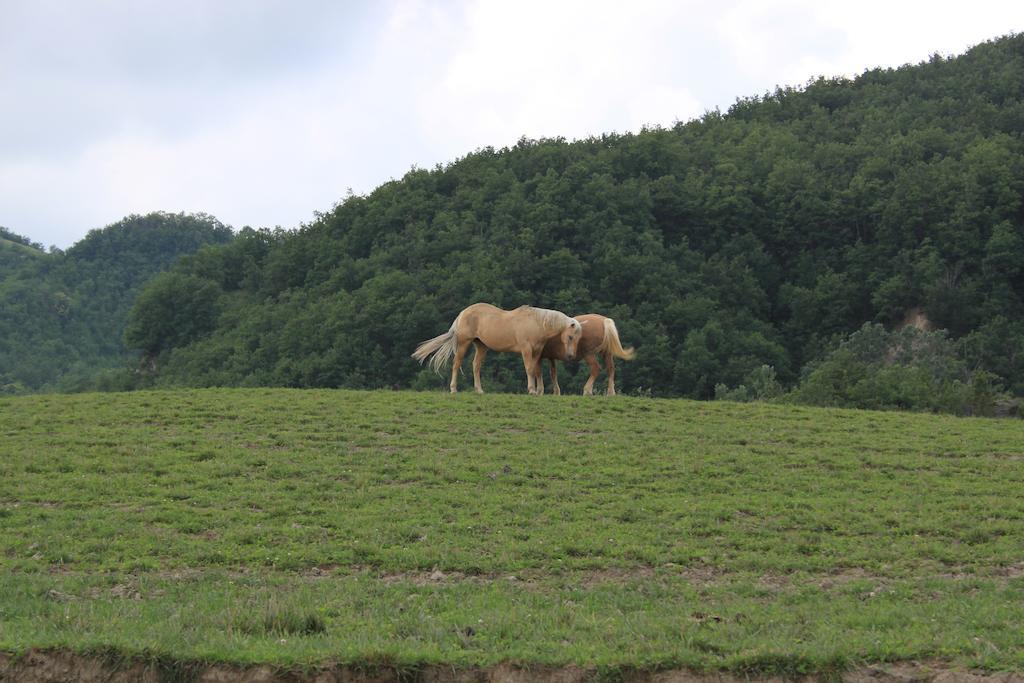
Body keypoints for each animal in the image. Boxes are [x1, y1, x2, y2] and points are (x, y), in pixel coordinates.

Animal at [409, 305, 585, 395]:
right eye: (570, 337)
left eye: (578, 338)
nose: (571, 356)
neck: (536, 322)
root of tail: (462, 313)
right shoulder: (526, 350)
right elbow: (529, 369)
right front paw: (531, 390)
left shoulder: (537, 352)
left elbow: (536, 371)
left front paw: (537, 390)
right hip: (464, 343)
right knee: (456, 364)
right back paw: (453, 389)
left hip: (481, 346)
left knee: (476, 366)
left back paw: (479, 390)